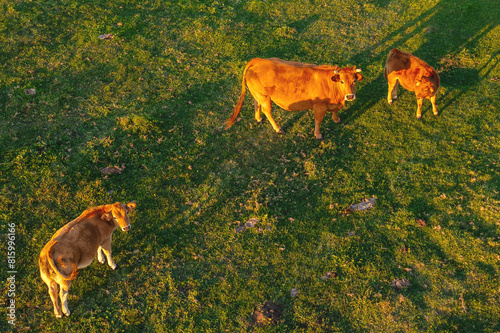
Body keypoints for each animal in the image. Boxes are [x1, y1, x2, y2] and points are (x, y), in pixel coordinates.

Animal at [225, 57, 362, 138]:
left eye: (354, 81)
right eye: (342, 81)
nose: (350, 96)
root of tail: (258, 60)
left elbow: (335, 111)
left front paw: (336, 119)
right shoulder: (319, 106)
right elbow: (318, 121)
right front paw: (318, 135)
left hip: (259, 94)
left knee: (256, 103)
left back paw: (258, 118)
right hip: (265, 98)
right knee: (267, 111)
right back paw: (278, 129)